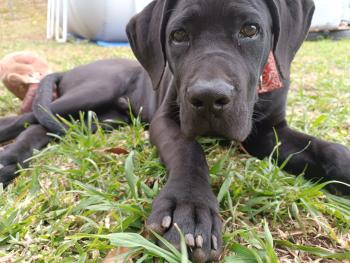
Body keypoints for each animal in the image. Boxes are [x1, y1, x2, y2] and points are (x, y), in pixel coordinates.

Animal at [0, 0, 350, 262]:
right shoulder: (168, 120)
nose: (208, 98)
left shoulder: (268, 133)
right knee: (28, 120)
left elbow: (327, 150)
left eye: (250, 30)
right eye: (178, 35)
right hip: (95, 89)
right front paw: (190, 209)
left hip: (101, 119)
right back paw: (8, 159)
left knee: (45, 129)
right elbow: (188, 151)